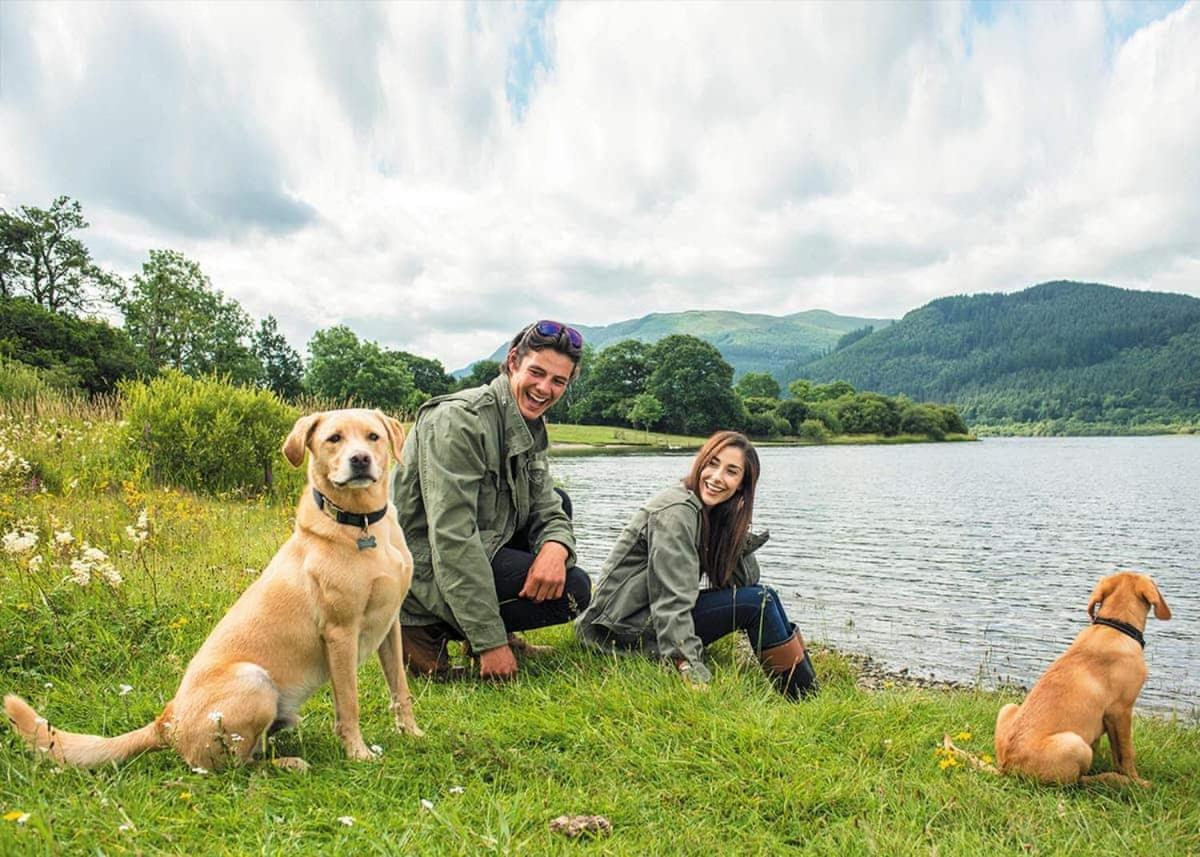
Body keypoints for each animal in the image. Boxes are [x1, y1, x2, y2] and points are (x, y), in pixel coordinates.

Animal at [4, 408, 424, 768]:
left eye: (373, 437)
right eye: (334, 438)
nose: (360, 460)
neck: (362, 524)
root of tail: (166, 720)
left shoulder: (390, 626)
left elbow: (400, 689)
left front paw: (412, 733)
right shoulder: (340, 633)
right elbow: (349, 703)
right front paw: (358, 752)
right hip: (254, 680)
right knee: (233, 767)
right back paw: (288, 764)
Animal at [993, 571, 1171, 782]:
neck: (1114, 626)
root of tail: (1006, 767)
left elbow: (1110, 749)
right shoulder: (1121, 710)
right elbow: (1126, 753)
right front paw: (1136, 781)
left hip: (1007, 707)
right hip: (1075, 744)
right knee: (1077, 782)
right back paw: (1110, 779)